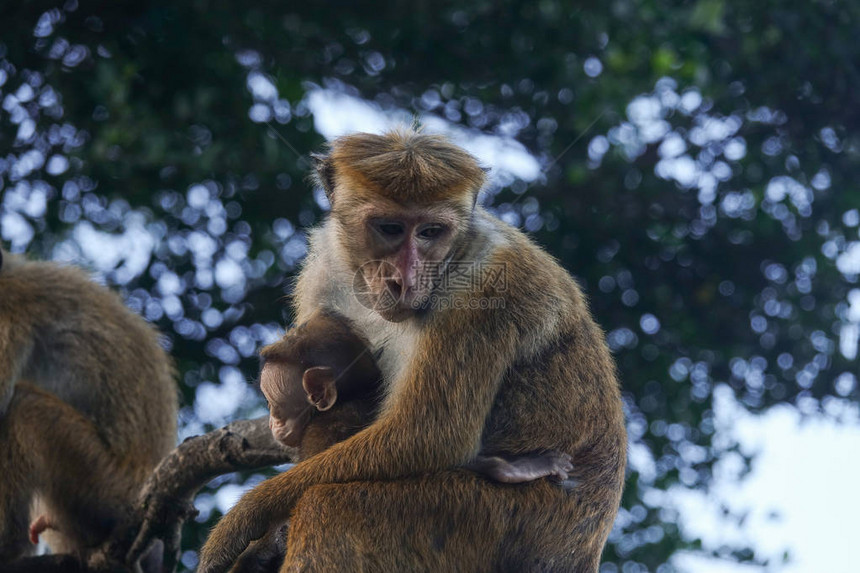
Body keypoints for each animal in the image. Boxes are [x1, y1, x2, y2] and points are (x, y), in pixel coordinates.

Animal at [199, 131, 628, 572]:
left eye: (430, 231)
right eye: (390, 228)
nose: (404, 280)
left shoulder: (487, 285)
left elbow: (427, 437)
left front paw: (242, 520)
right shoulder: (323, 269)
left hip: (500, 521)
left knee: (329, 508)